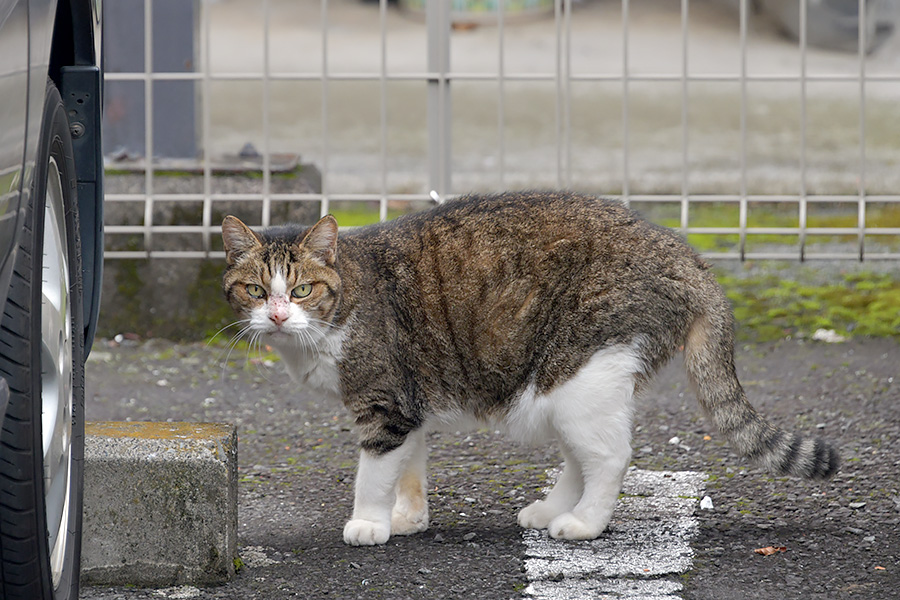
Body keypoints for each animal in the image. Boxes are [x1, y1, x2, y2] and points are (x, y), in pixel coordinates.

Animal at [221, 190, 840, 548]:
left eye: (302, 290)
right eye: (255, 291)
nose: (277, 315)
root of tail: (688, 257)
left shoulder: (384, 403)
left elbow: (373, 473)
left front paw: (369, 524)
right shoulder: (410, 401)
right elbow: (410, 469)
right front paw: (408, 518)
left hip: (580, 370)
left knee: (610, 456)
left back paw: (583, 523)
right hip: (562, 384)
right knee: (580, 455)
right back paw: (552, 510)